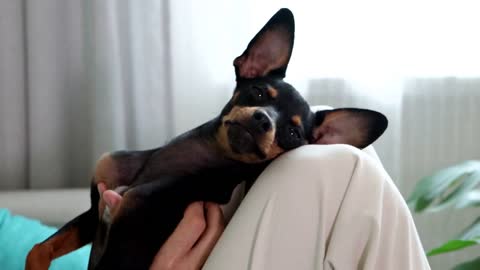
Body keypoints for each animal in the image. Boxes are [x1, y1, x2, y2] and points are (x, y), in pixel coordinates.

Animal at [25, 8, 386, 270]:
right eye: (258, 92)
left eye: (293, 134)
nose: (262, 119)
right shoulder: (95, 210)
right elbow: (39, 250)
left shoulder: (127, 240)